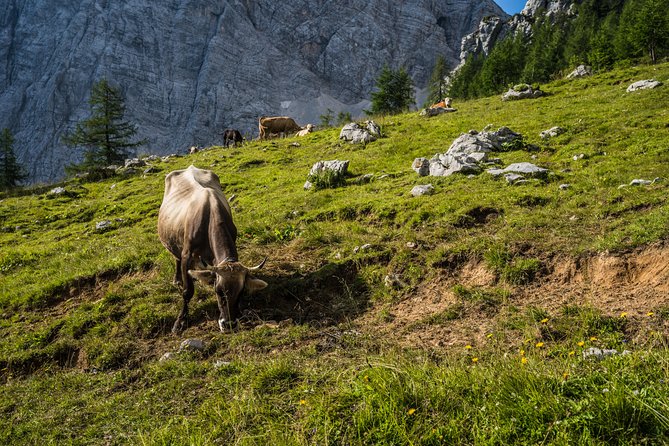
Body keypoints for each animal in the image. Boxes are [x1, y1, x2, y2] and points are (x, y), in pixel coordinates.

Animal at [158, 166, 268, 332]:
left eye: (241, 292)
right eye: (218, 291)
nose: (229, 324)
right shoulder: (187, 255)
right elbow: (187, 291)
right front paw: (181, 321)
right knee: (176, 257)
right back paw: (177, 279)